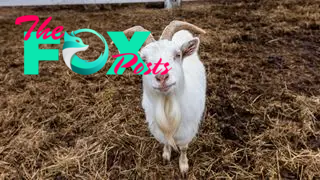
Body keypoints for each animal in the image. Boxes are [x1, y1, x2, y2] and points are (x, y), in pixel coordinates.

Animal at [121, 20, 206, 175]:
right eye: (143, 59)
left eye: (177, 55)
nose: (162, 76)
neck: (167, 104)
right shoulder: (158, 130)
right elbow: (166, 143)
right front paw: (166, 156)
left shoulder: (187, 132)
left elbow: (183, 148)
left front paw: (183, 166)